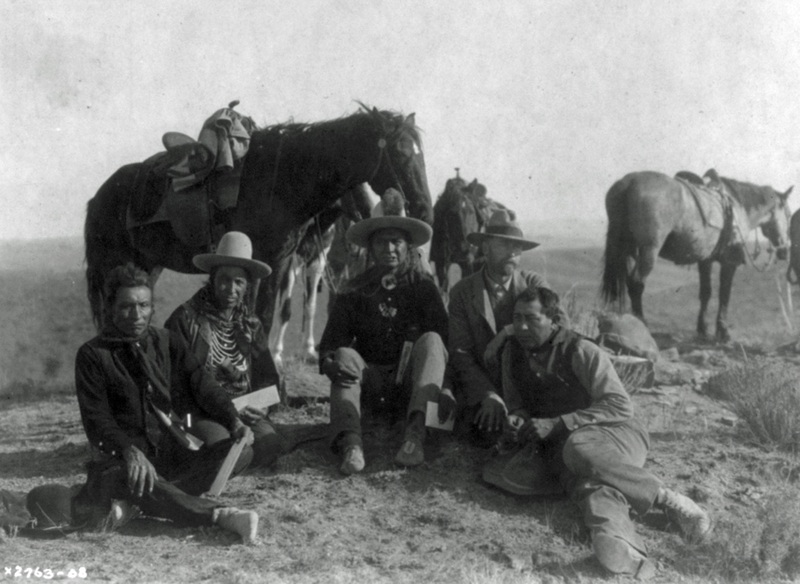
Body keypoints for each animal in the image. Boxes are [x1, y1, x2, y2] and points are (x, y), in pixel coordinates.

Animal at [84, 105, 432, 334]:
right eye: (401, 154)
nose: (424, 208)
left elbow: (263, 318)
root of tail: (98, 197)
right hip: (113, 264)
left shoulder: (277, 263)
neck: (281, 180)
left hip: (147, 265)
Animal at [604, 169, 792, 342]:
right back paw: (643, 324)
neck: (738, 207)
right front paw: (723, 331)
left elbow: (706, 293)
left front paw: (702, 328)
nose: (785, 250)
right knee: (636, 283)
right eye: (789, 215)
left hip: (628, 251)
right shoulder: (729, 262)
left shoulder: (705, 260)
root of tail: (628, 183)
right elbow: (725, 294)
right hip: (649, 250)